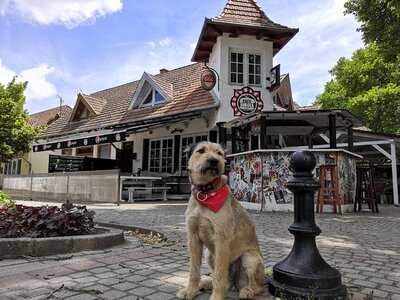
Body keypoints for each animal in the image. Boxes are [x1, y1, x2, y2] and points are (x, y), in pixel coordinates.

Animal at [177, 142, 264, 300]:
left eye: (219, 153)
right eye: (201, 151)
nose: (214, 161)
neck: (206, 192)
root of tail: (236, 282)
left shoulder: (221, 240)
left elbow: (219, 275)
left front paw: (217, 296)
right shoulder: (193, 239)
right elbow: (194, 271)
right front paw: (190, 290)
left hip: (250, 258)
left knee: (258, 286)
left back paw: (247, 291)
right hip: (209, 254)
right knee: (227, 282)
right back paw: (205, 284)